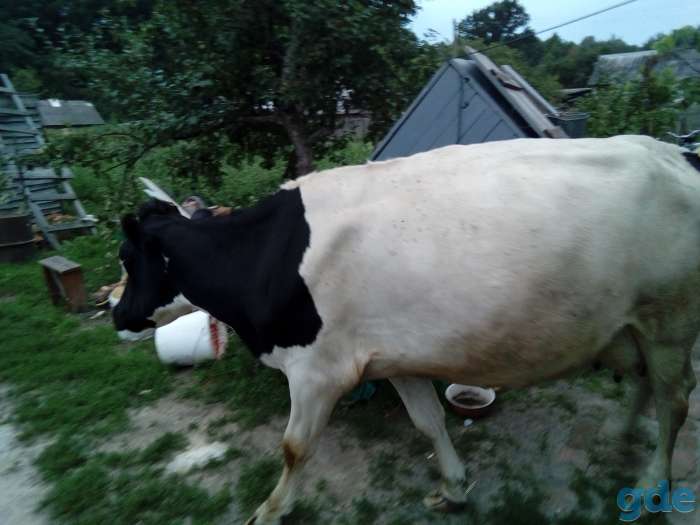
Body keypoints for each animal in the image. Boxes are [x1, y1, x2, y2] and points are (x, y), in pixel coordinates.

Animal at [113, 135, 700, 524]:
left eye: (126, 257)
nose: (116, 314)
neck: (267, 258)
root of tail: (673, 153)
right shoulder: (397, 357)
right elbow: (429, 423)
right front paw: (454, 489)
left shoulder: (315, 371)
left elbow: (294, 448)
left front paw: (271, 510)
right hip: (631, 327)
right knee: (647, 384)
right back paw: (623, 435)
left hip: (669, 322)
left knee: (674, 401)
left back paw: (651, 484)